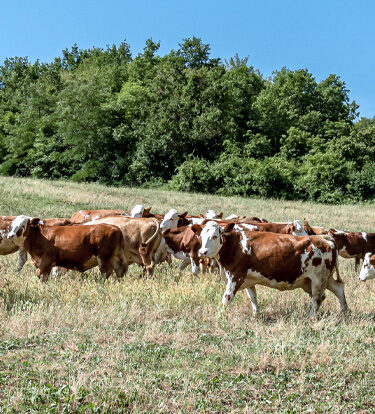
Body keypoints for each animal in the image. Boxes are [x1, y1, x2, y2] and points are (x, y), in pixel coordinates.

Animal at [194, 222, 350, 316]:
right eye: (201, 236)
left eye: (215, 236)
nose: (202, 252)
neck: (235, 245)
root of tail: (324, 238)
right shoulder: (248, 280)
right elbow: (253, 298)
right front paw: (256, 315)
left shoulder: (235, 277)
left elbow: (226, 298)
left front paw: (219, 317)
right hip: (323, 279)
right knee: (339, 289)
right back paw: (345, 312)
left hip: (318, 279)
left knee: (318, 298)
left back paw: (311, 316)